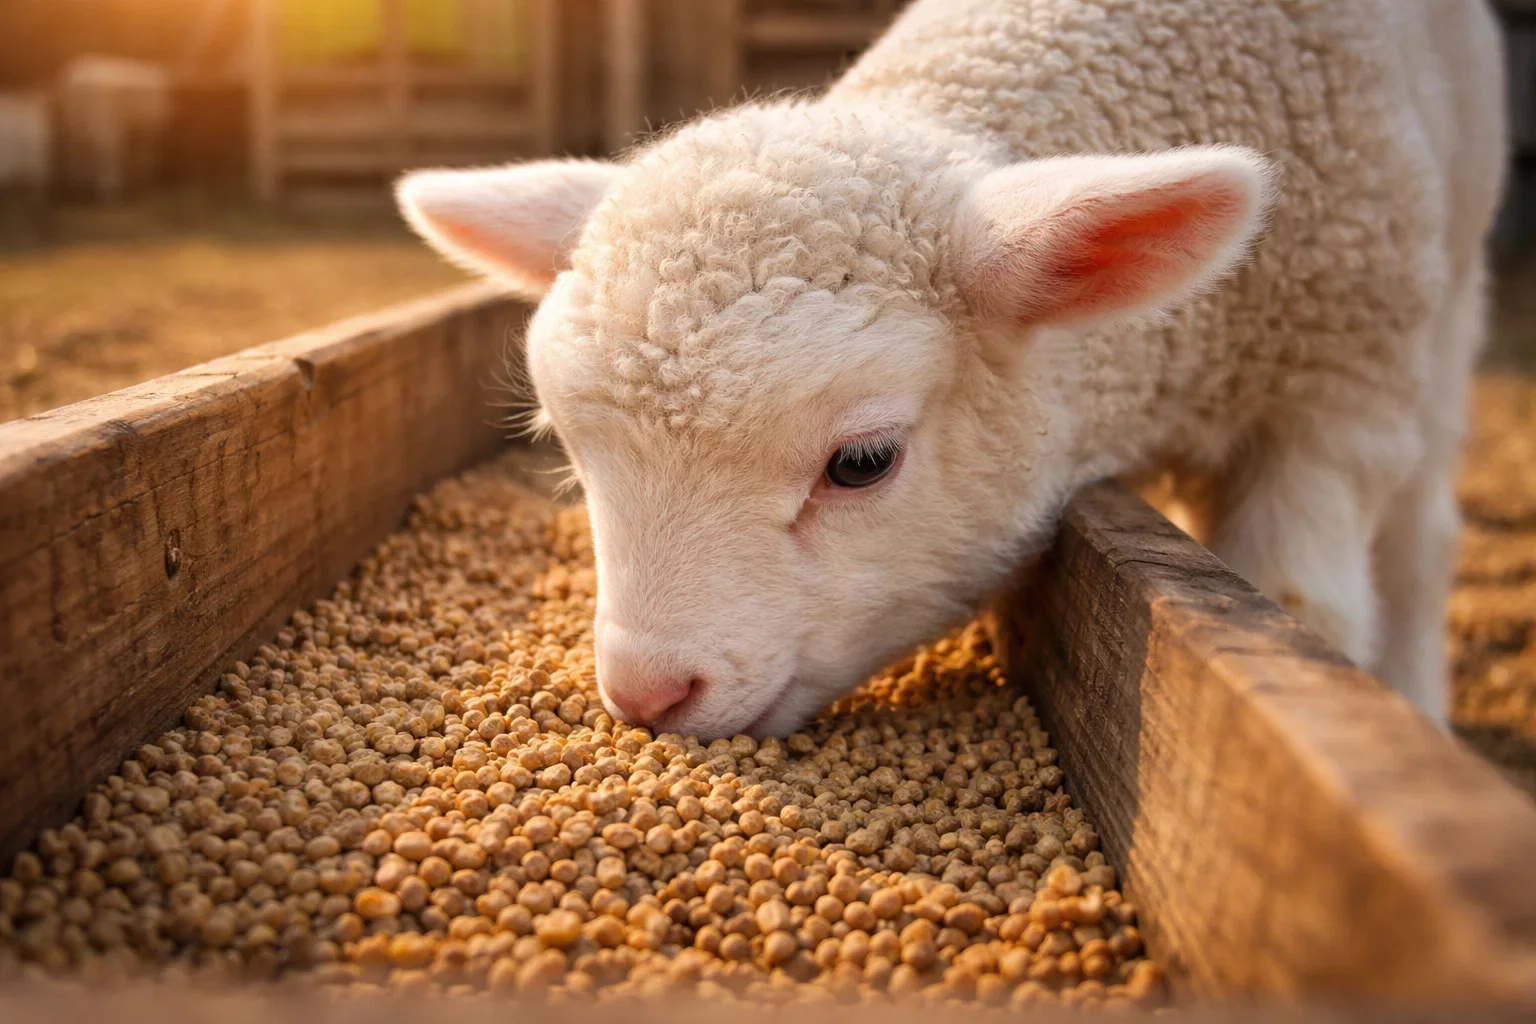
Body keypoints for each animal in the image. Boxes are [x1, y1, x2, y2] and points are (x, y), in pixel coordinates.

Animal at [397, 0, 1507, 738]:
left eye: (862, 462)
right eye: (566, 450)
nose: (648, 695)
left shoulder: (1338, 385)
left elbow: (1306, 600)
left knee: (1422, 537)